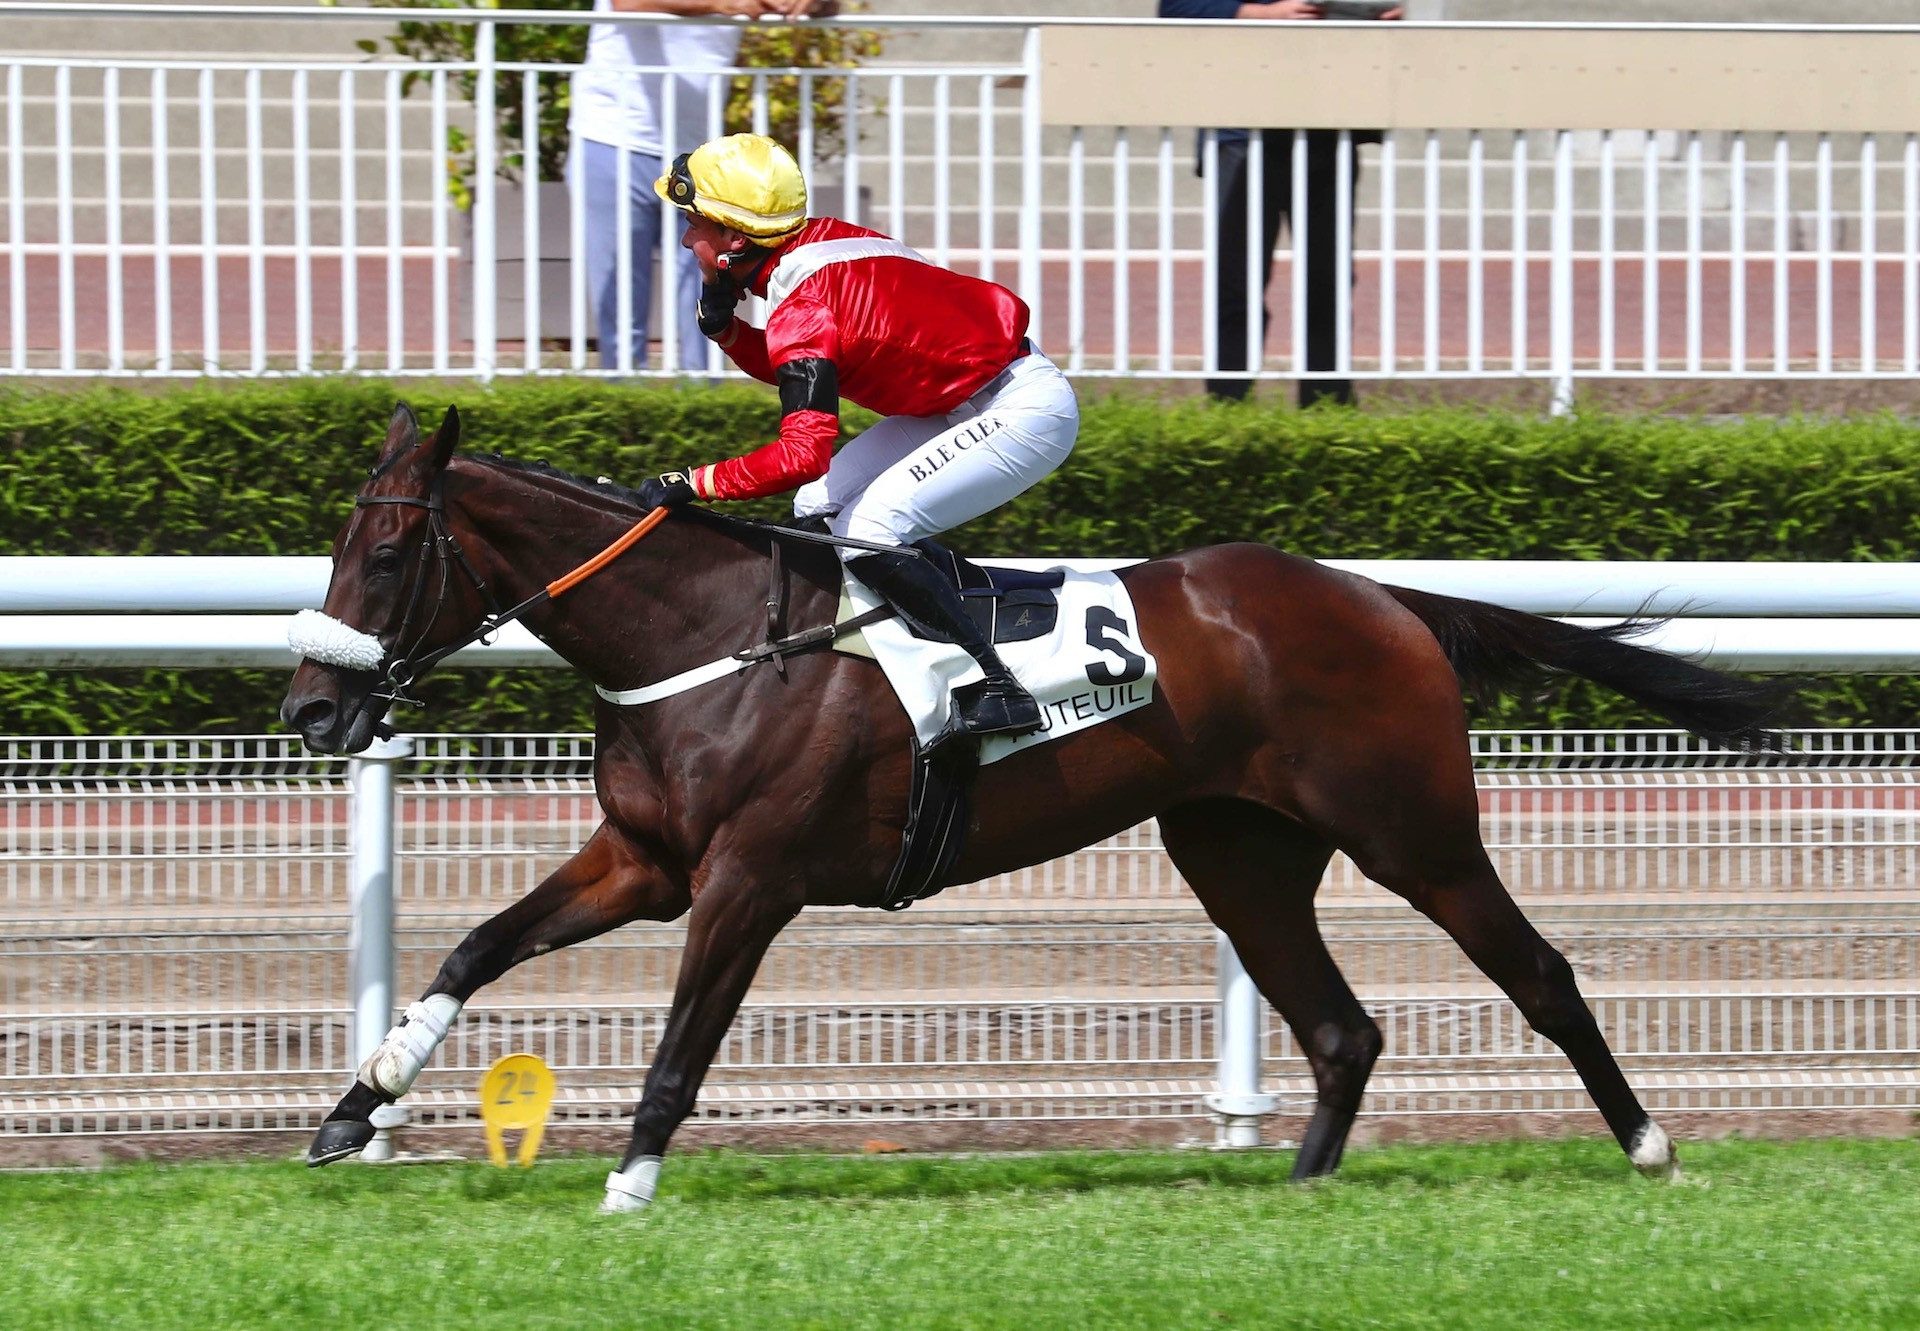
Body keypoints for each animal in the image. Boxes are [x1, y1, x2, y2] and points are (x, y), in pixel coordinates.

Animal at [288, 401, 1781, 1206]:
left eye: (386, 552)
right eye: (336, 539)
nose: (311, 711)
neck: (708, 638)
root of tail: (1381, 593)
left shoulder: (748, 880)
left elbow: (681, 1044)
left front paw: (630, 1179)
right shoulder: (643, 858)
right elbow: (476, 945)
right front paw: (358, 1106)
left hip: (1412, 827)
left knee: (1540, 971)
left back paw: (1651, 1144)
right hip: (1237, 849)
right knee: (1340, 1027)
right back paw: (1302, 1188)